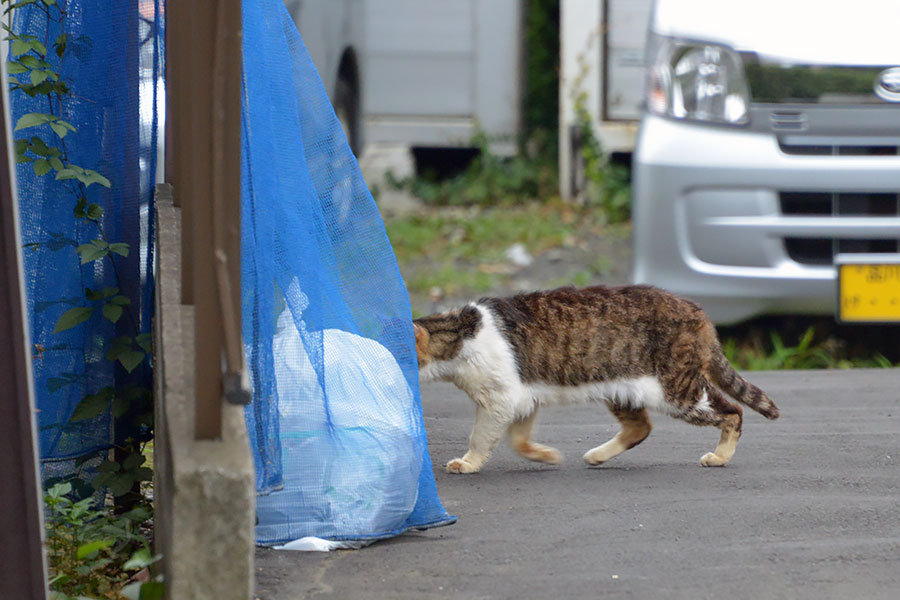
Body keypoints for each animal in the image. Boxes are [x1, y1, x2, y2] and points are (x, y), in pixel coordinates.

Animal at [412, 284, 776, 474]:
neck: (462, 334)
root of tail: (697, 310)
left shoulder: (499, 399)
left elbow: (480, 437)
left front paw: (468, 463)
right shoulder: (522, 397)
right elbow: (518, 440)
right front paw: (544, 456)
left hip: (677, 391)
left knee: (733, 412)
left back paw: (720, 456)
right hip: (624, 388)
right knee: (640, 427)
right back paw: (599, 455)